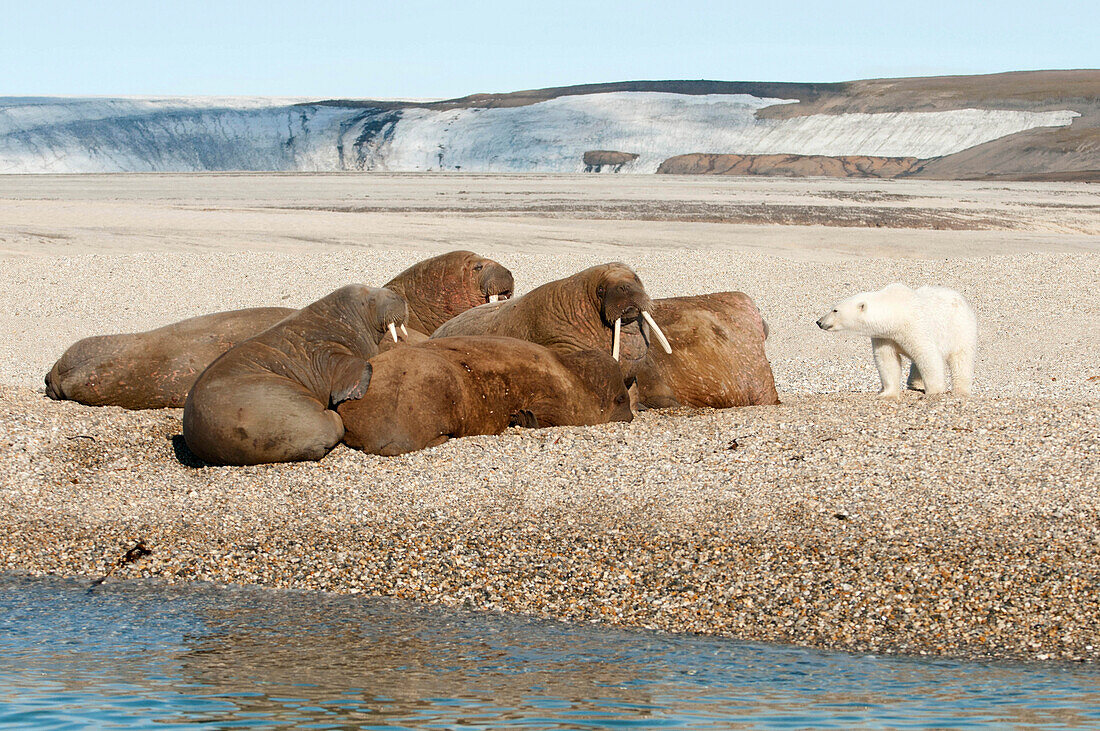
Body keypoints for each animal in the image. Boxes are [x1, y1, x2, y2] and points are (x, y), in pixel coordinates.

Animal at [818, 285, 981, 400]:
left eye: (835, 310)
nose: (819, 322)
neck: (897, 314)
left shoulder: (916, 327)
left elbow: (928, 356)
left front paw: (934, 392)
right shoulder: (884, 336)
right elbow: (887, 360)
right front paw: (887, 394)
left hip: (960, 329)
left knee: (961, 360)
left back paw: (961, 391)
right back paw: (914, 384)